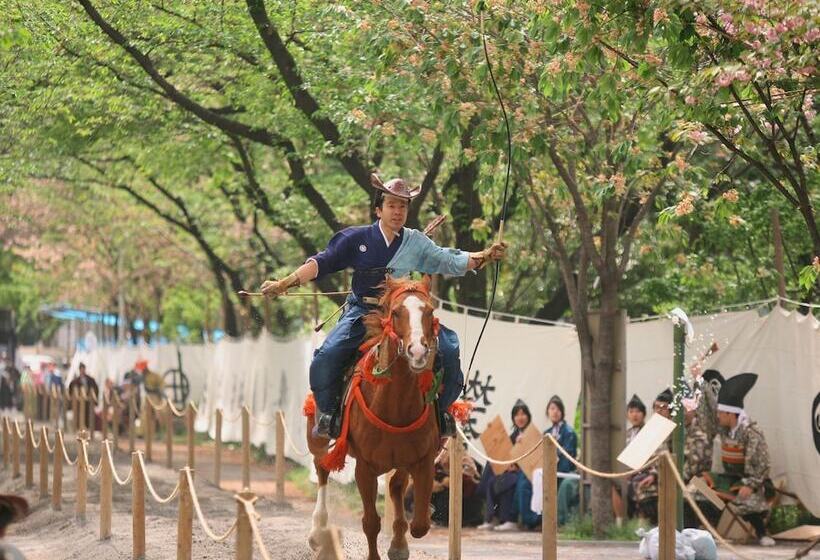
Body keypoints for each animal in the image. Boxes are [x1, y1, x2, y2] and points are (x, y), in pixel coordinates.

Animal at [304, 276, 442, 560]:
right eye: (396, 312)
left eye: (429, 311)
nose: (418, 351)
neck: (395, 404)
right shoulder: (365, 468)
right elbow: (370, 522)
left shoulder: (422, 460)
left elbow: (419, 524)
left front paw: (399, 545)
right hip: (317, 435)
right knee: (321, 467)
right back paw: (317, 532)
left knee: (396, 487)